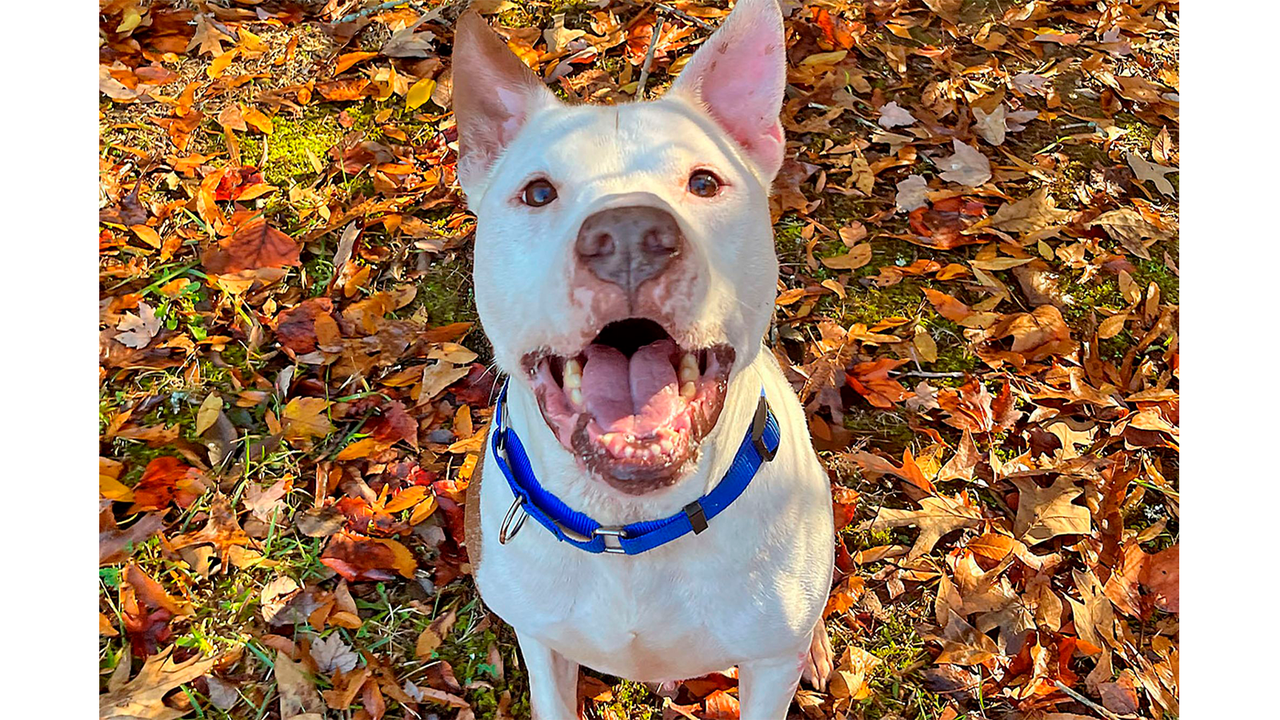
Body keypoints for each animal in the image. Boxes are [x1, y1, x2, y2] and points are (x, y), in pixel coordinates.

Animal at [455, 2, 834, 712]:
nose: (628, 234)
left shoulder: (770, 665)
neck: (628, 529)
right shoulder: (540, 641)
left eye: (705, 183)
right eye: (538, 193)